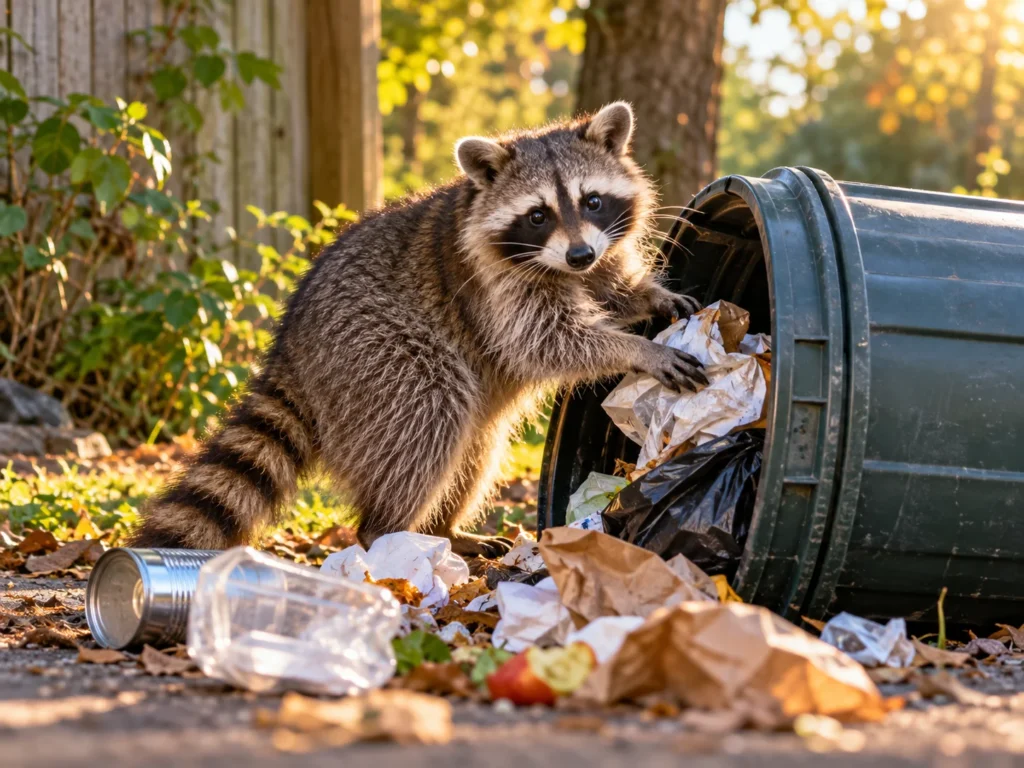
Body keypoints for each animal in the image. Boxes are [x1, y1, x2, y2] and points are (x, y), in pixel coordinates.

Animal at [131, 102, 707, 558]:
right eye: (538, 215)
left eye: (592, 201)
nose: (579, 254)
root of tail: (290, 349)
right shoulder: (495, 286)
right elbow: (547, 343)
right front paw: (634, 349)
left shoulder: (595, 252)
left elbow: (612, 286)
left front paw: (648, 297)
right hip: (372, 352)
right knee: (428, 414)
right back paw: (389, 532)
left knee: (474, 448)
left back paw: (445, 529)